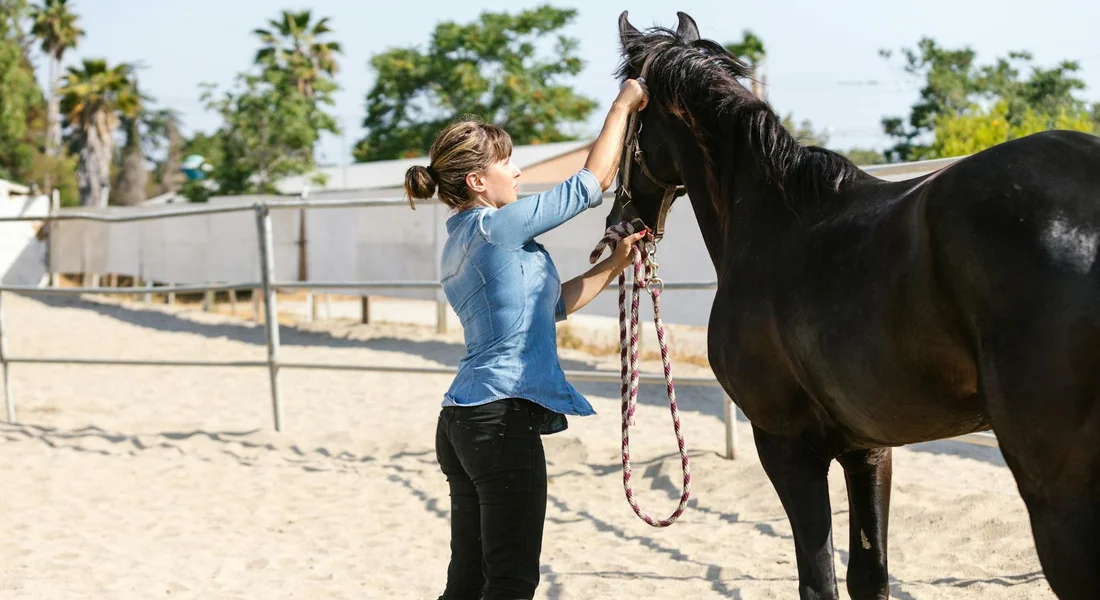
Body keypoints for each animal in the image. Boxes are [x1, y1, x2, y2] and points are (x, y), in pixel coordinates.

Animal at [609, 11, 1100, 600]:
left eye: (626, 116)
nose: (618, 221)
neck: (772, 222)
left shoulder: (784, 443)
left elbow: (818, 580)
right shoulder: (868, 449)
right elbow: (868, 574)